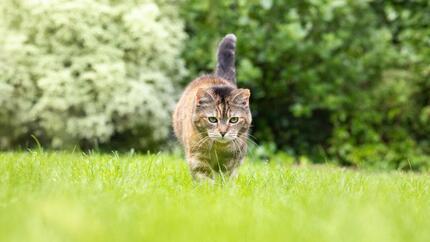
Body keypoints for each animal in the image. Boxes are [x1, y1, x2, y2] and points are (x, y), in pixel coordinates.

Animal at [172, 34, 252, 182]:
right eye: (212, 119)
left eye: (234, 120)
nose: (223, 132)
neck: (218, 148)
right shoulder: (197, 158)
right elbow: (205, 177)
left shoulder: (233, 159)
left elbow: (227, 176)